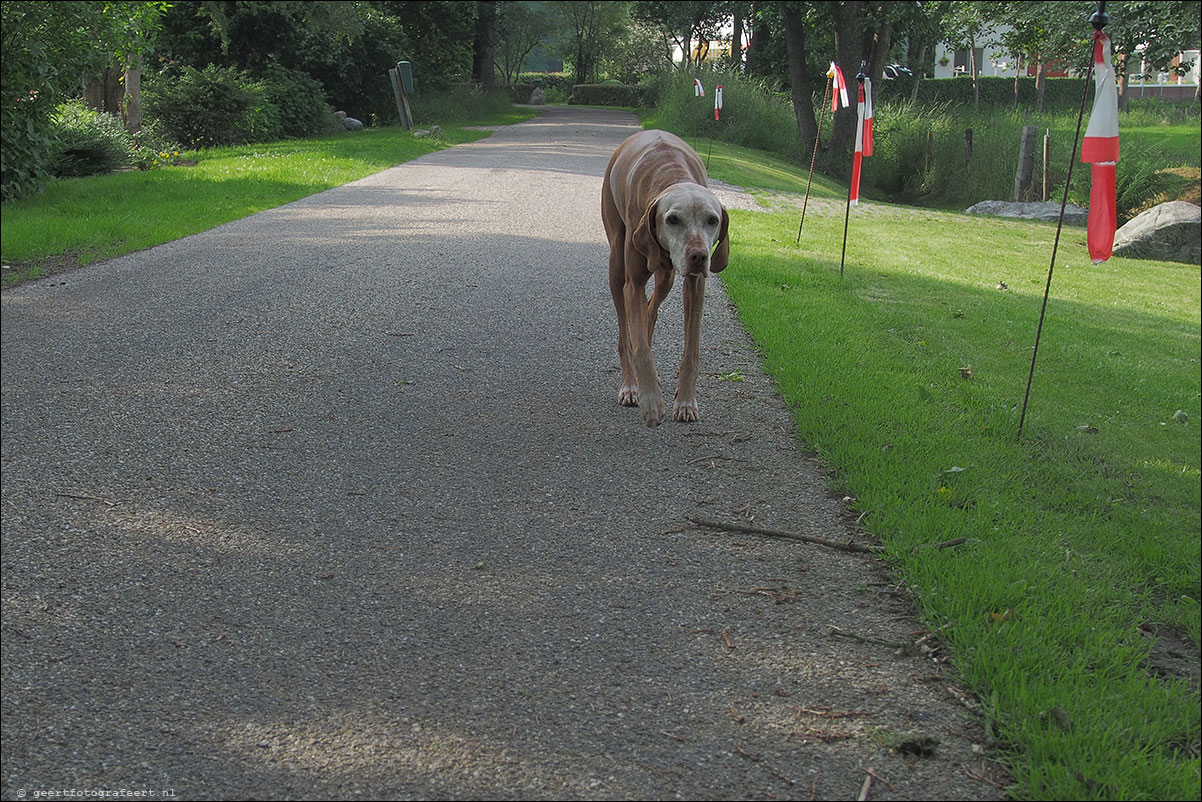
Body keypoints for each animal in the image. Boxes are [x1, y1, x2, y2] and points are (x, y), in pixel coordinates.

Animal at [601, 131, 730, 430]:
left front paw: (685, 401)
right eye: (672, 219)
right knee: (626, 332)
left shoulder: (695, 286)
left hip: (666, 276)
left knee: (651, 310)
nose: (699, 256)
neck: (671, 174)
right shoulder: (633, 283)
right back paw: (631, 384)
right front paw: (650, 400)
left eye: (712, 220)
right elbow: (640, 348)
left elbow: (691, 347)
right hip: (617, 265)